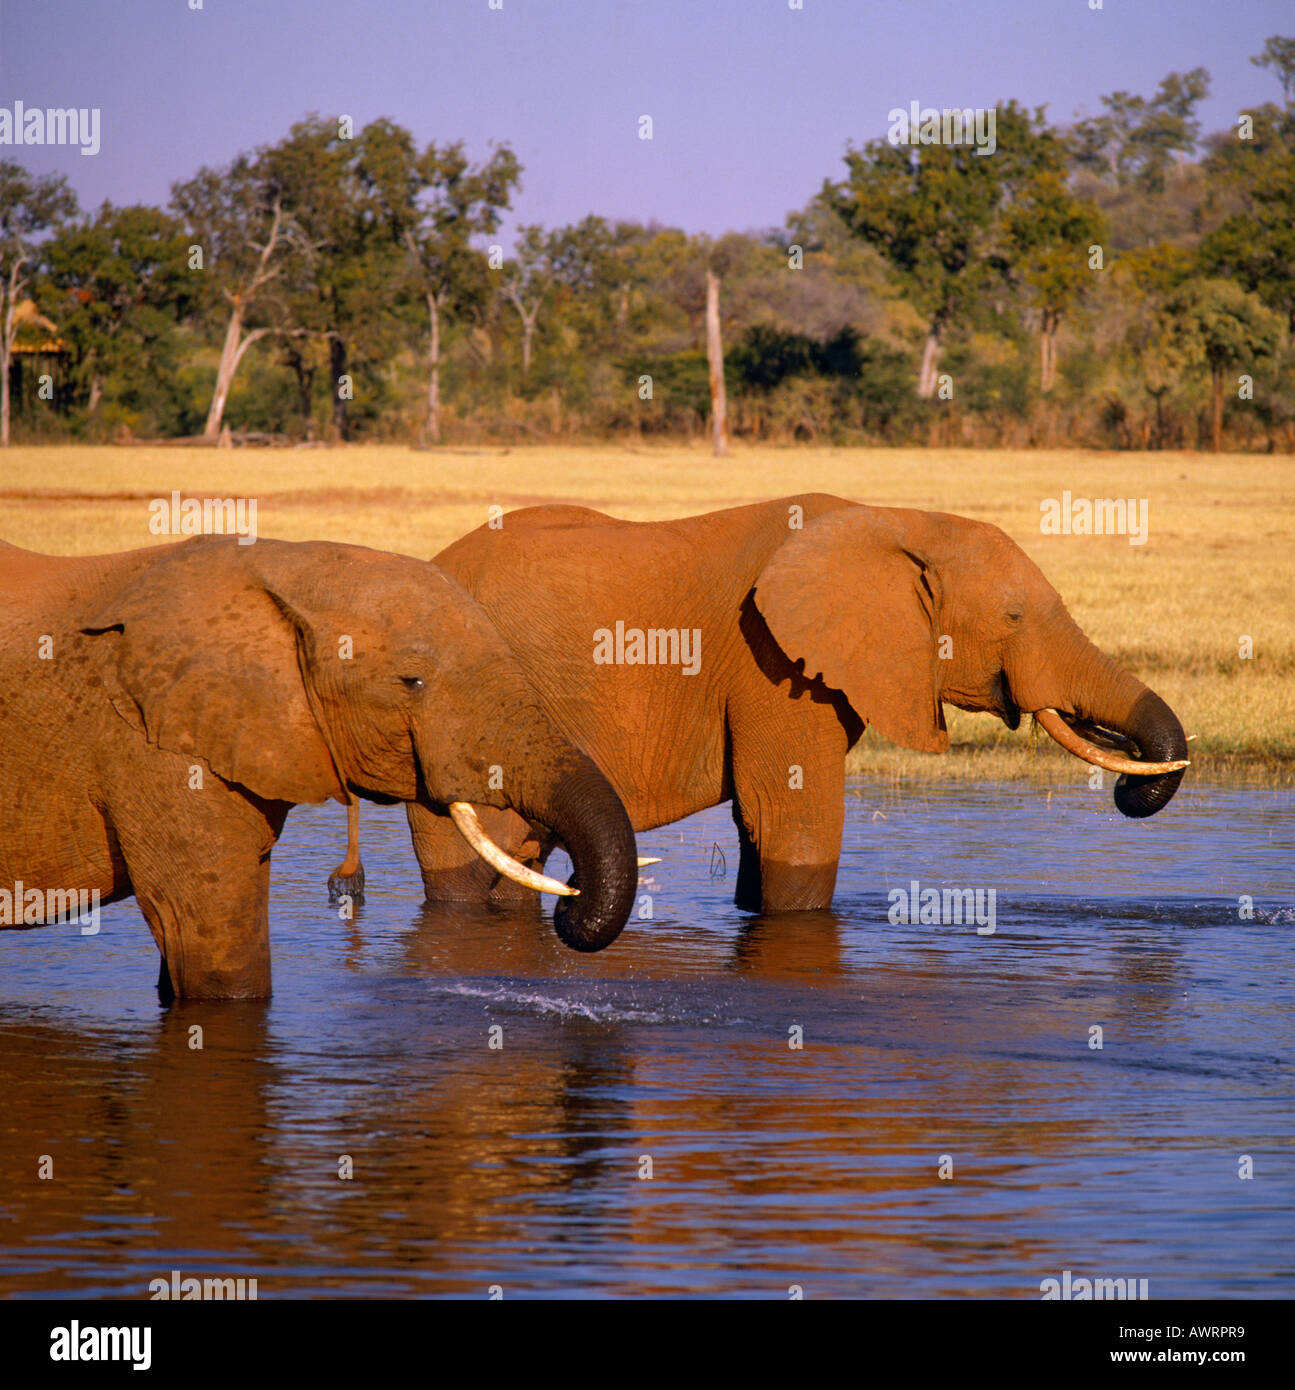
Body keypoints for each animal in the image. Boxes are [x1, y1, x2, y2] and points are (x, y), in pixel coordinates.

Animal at [339, 497, 1189, 911]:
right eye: (1013, 616)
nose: (1128, 786)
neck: (900, 519)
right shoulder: (771, 661)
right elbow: (791, 816)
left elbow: (764, 825)